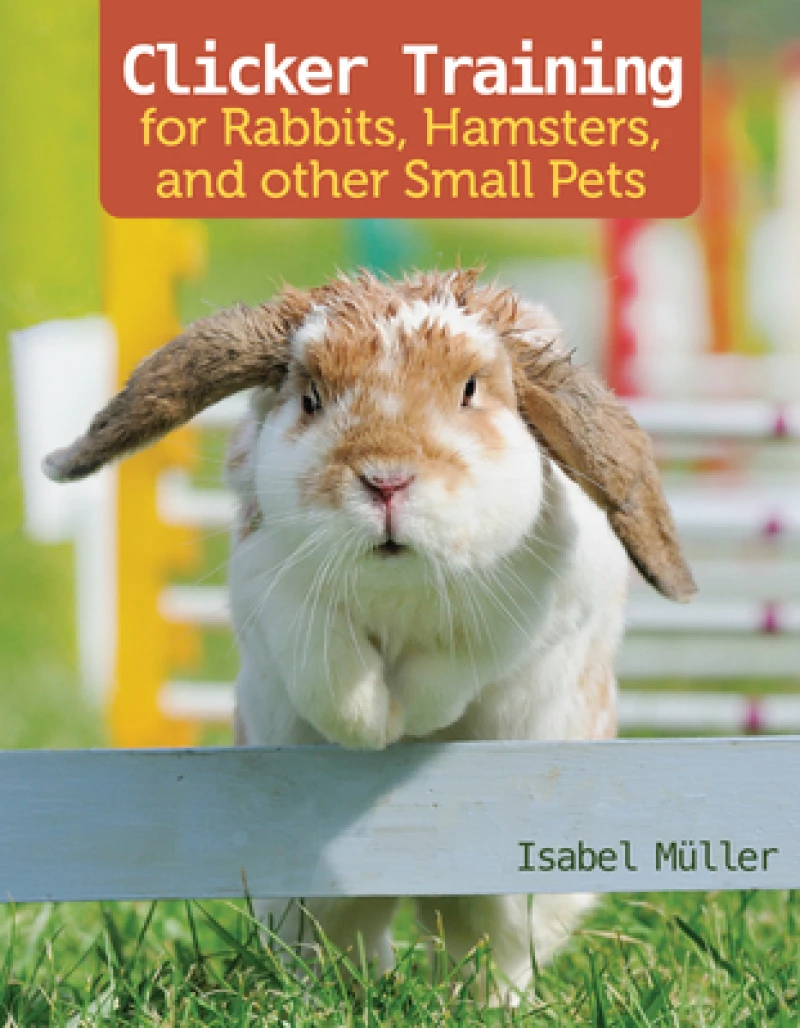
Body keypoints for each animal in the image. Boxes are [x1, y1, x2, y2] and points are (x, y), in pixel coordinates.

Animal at [44, 268, 694, 1003]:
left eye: (470, 390)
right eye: (311, 399)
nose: (386, 478)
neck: (397, 582)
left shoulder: (537, 611)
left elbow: (459, 662)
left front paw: (412, 717)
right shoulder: (274, 595)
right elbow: (329, 669)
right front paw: (374, 726)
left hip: (509, 881)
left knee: (485, 941)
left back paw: (478, 1002)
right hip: (307, 887)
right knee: (344, 930)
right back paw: (333, 995)